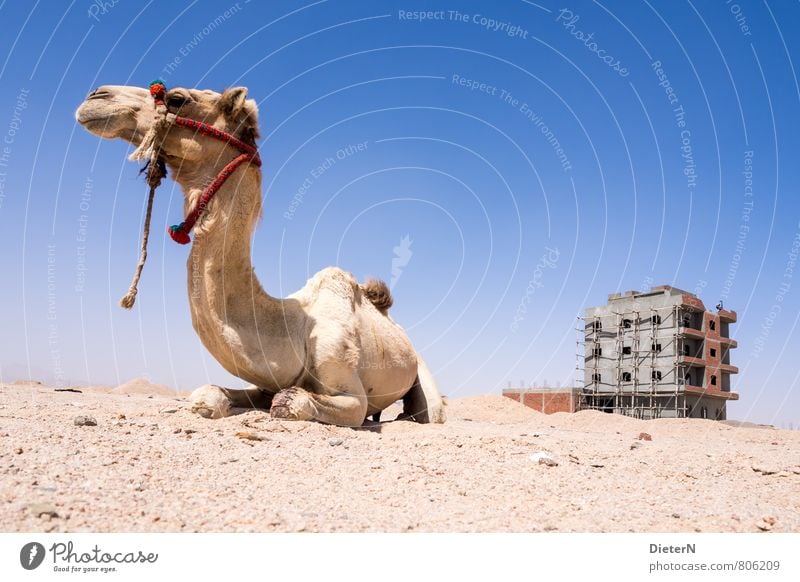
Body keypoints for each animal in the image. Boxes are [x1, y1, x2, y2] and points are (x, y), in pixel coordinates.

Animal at [74, 83, 444, 428]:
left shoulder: (349, 392)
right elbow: (205, 395)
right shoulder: (264, 383)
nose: (96, 96)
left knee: (429, 412)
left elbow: (292, 401)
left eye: (177, 99)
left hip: (421, 374)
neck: (293, 329)